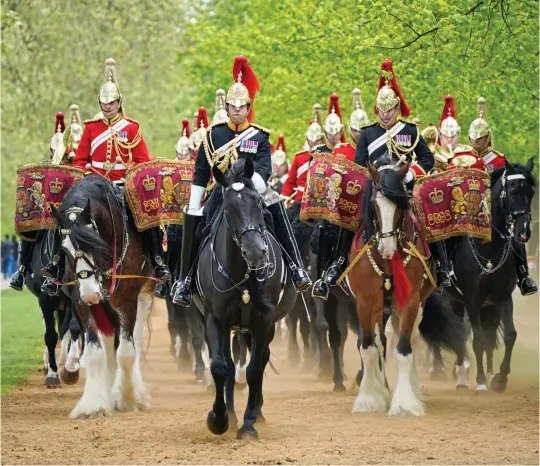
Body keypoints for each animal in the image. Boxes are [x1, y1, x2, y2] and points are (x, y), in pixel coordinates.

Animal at [51, 175, 154, 418]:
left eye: (96, 244)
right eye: (64, 250)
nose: (91, 292)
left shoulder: (127, 300)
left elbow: (126, 353)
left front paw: (127, 399)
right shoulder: (81, 304)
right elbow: (95, 352)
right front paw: (93, 405)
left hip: (142, 296)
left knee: (134, 340)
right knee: (108, 343)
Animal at [193, 158, 296, 438]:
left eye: (259, 204)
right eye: (228, 209)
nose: (256, 252)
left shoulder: (263, 320)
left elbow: (254, 369)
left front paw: (249, 423)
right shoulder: (214, 320)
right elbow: (220, 367)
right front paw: (219, 418)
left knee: (261, 360)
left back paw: (256, 413)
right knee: (228, 364)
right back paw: (230, 412)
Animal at [442, 158, 536, 392]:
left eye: (531, 191)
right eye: (512, 191)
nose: (523, 232)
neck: (489, 246)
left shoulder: (502, 298)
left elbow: (510, 335)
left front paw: (500, 379)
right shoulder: (472, 299)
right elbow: (477, 340)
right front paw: (482, 381)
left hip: (484, 306)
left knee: (485, 335)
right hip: (454, 300)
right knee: (459, 332)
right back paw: (460, 376)